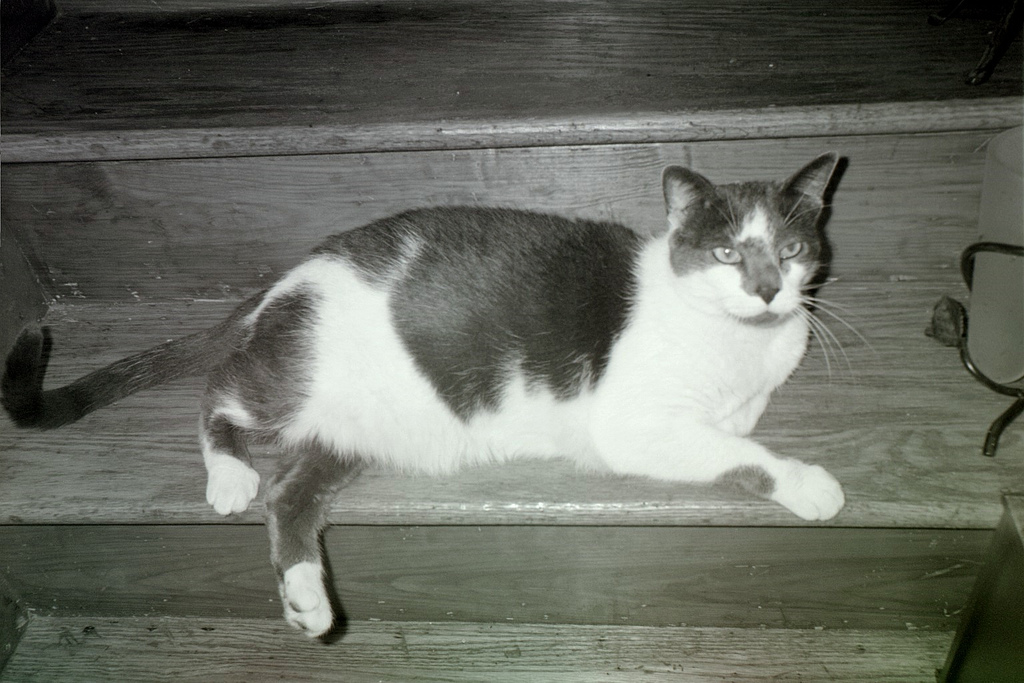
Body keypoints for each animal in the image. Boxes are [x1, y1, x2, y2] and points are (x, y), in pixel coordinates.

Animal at [2, 153, 845, 638]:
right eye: (728, 250)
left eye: (792, 248)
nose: (769, 290)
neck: (741, 345)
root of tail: (285, 280)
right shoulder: (637, 423)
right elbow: (739, 449)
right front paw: (809, 482)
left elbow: (739, 422)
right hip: (290, 382)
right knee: (220, 395)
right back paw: (230, 475)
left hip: (350, 436)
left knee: (291, 495)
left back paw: (308, 599)